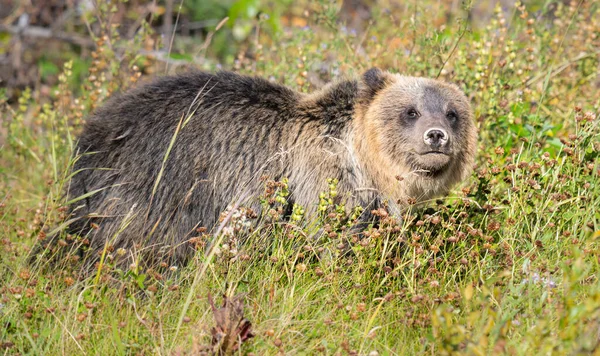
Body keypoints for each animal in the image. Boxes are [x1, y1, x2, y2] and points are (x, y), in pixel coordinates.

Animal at [36, 68, 478, 272]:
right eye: (411, 111)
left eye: (452, 112)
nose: (437, 136)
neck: (362, 160)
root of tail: (92, 133)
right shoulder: (321, 183)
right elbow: (333, 238)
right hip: (153, 190)